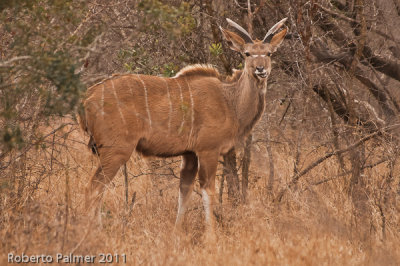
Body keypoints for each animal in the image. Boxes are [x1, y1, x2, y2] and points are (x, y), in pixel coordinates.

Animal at [79, 17, 288, 230]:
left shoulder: (189, 154)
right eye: (247, 53)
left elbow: (184, 193)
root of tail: (88, 97)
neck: (229, 100)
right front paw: (211, 233)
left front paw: (177, 231)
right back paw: (94, 231)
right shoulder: (207, 150)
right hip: (117, 150)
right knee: (93, 188)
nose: (261, 69)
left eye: (269, 53)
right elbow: (208, 191)